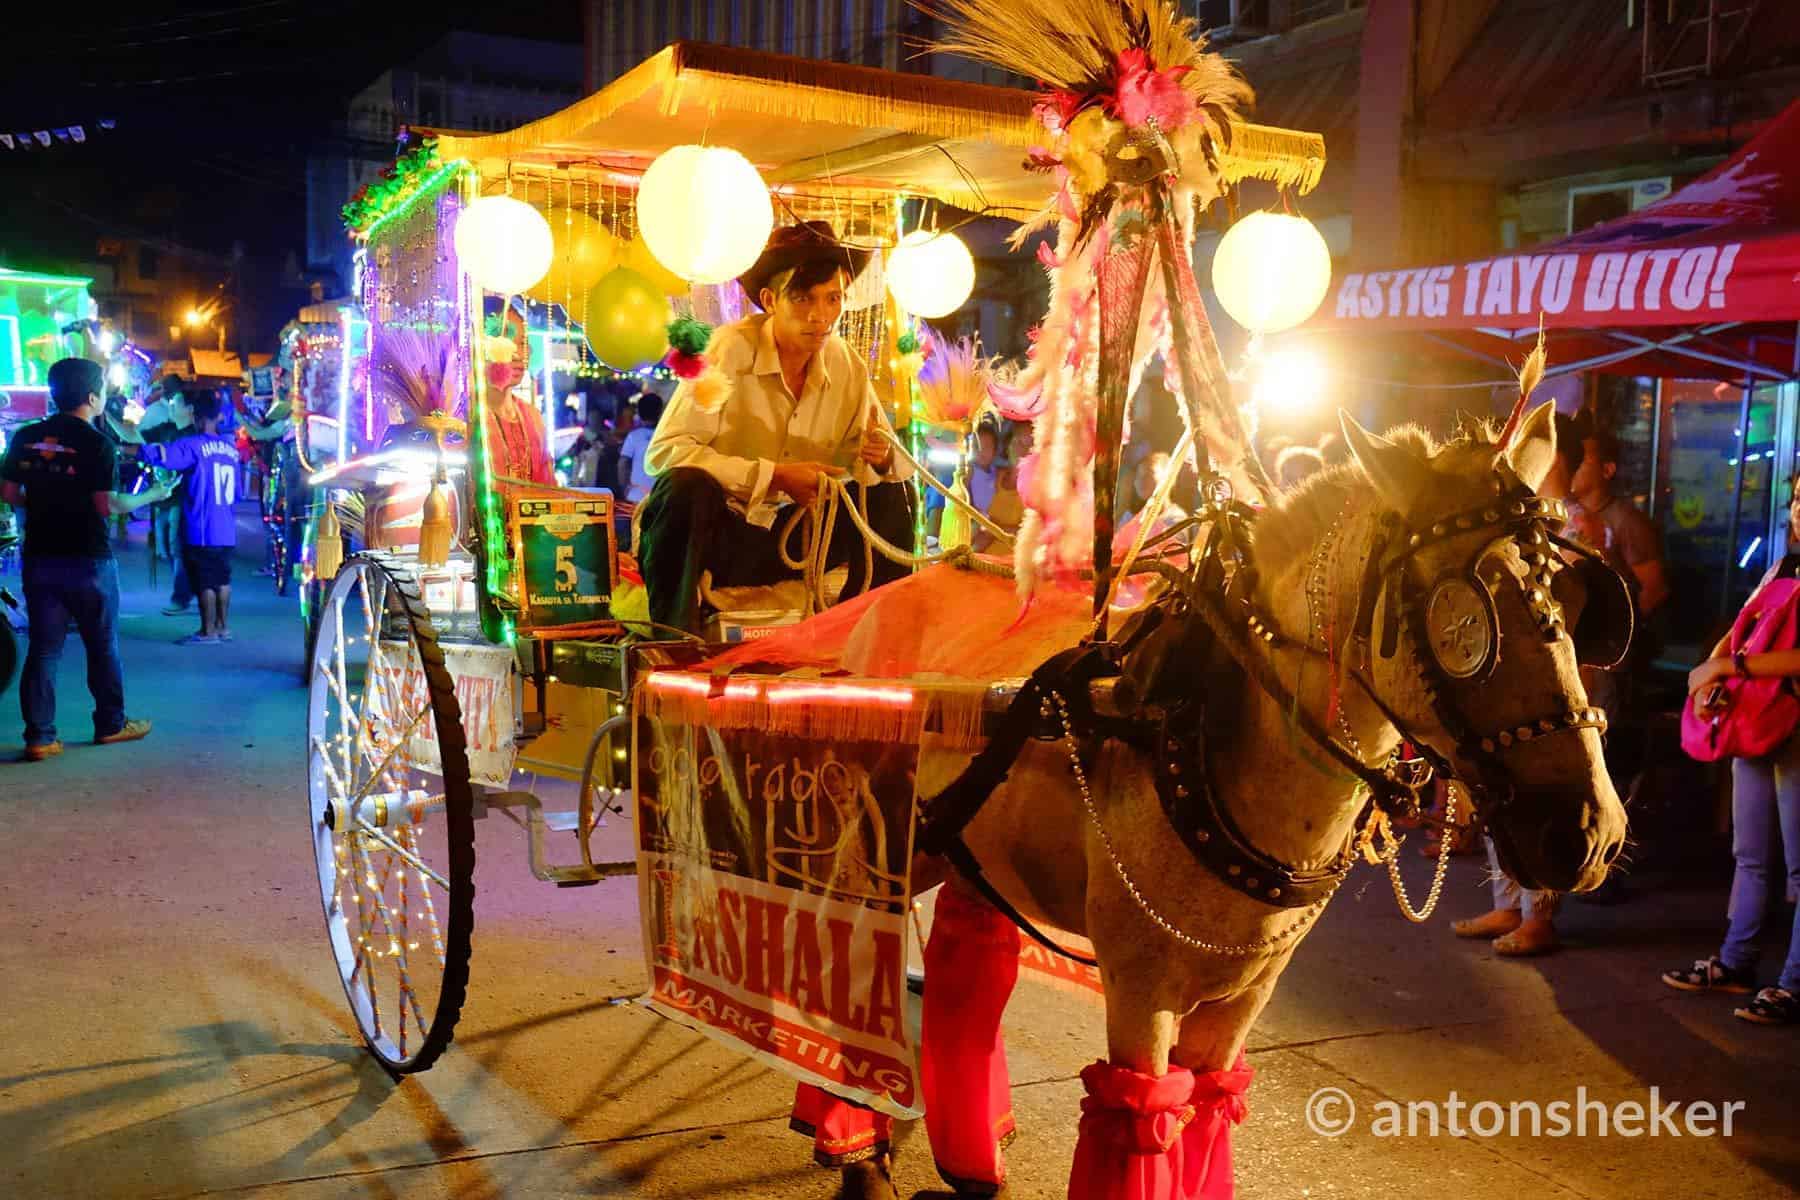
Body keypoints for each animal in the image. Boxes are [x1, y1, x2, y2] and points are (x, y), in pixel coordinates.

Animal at [842, 399, 1634, 1194]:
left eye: (1575, 602)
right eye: (1467, 617)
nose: (1590, 832)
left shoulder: (1243, 999)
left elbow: (1207, 1106)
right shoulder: (1141, 990)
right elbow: (1142, 1122)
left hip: (966, 849)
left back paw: (972, 1152)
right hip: (878, 847)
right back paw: (859, 1150)